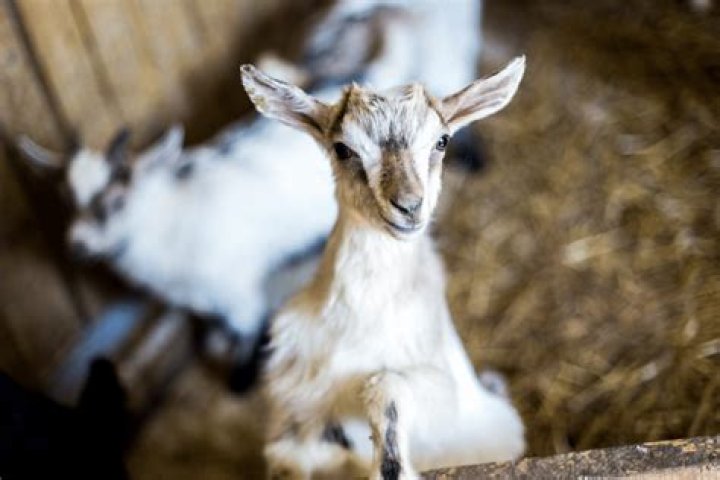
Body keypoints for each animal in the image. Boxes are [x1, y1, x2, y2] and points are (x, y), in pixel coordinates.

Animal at [241, 55, 526, 479]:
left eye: (442, 141)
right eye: (343, 149)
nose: (408, 206)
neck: (361, 322)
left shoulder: (441, 393)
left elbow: (387, 384)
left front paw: (391, 467)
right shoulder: (297, 403)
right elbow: (292, 452)